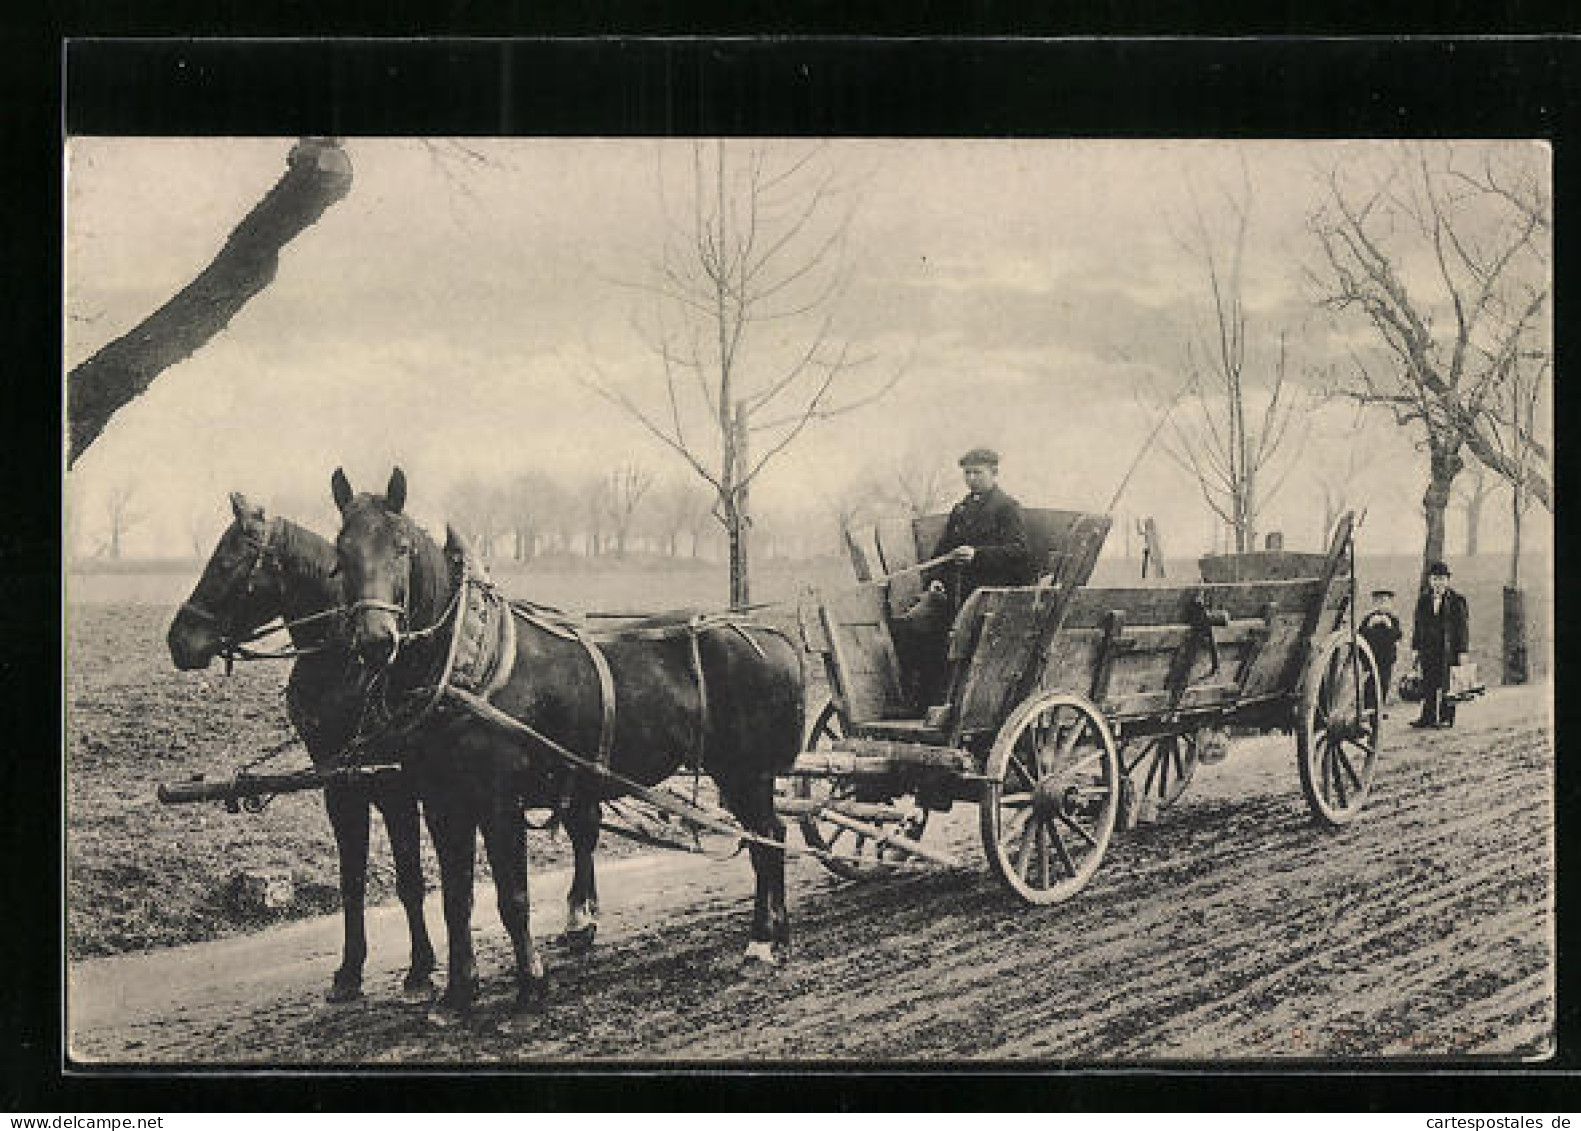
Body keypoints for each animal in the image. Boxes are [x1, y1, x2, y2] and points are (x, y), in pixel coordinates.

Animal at [166, 490, 436, 1006]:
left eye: (226, 561)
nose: (178, 640)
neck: (344, 664)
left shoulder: (394, 787)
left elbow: (410, 879)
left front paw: (420, 970)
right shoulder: (340, 787)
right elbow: (351, 880)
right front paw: (350, 972)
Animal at [330, 468, 803, 1025]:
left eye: (401, 548)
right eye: (341, 551)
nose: (375, 639)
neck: (467, 664)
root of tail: (768, 635)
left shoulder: (499, 802)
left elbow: (512, 898)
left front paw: (530, 988)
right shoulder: (443, 804)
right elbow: (455, 898)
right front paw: (458, 994)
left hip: (746, 772)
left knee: (767, 840)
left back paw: (763, 943)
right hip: (741, 773)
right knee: (767, 838)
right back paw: (776, 937)